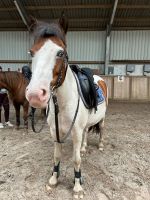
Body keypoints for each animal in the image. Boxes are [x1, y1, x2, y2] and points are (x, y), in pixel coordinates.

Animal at [25, 14, 108, 198]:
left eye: (60, 52)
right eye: (32, 52)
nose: (35, 95)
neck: (62, 103)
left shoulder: (75, 132)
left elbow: (76, 159)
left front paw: (77, 186)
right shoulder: (54, 131)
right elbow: (57, 156)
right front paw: (53, 179)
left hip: (102, 119)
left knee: (101, 129)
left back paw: (100, 146)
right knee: (86, 132)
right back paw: (84, 147)